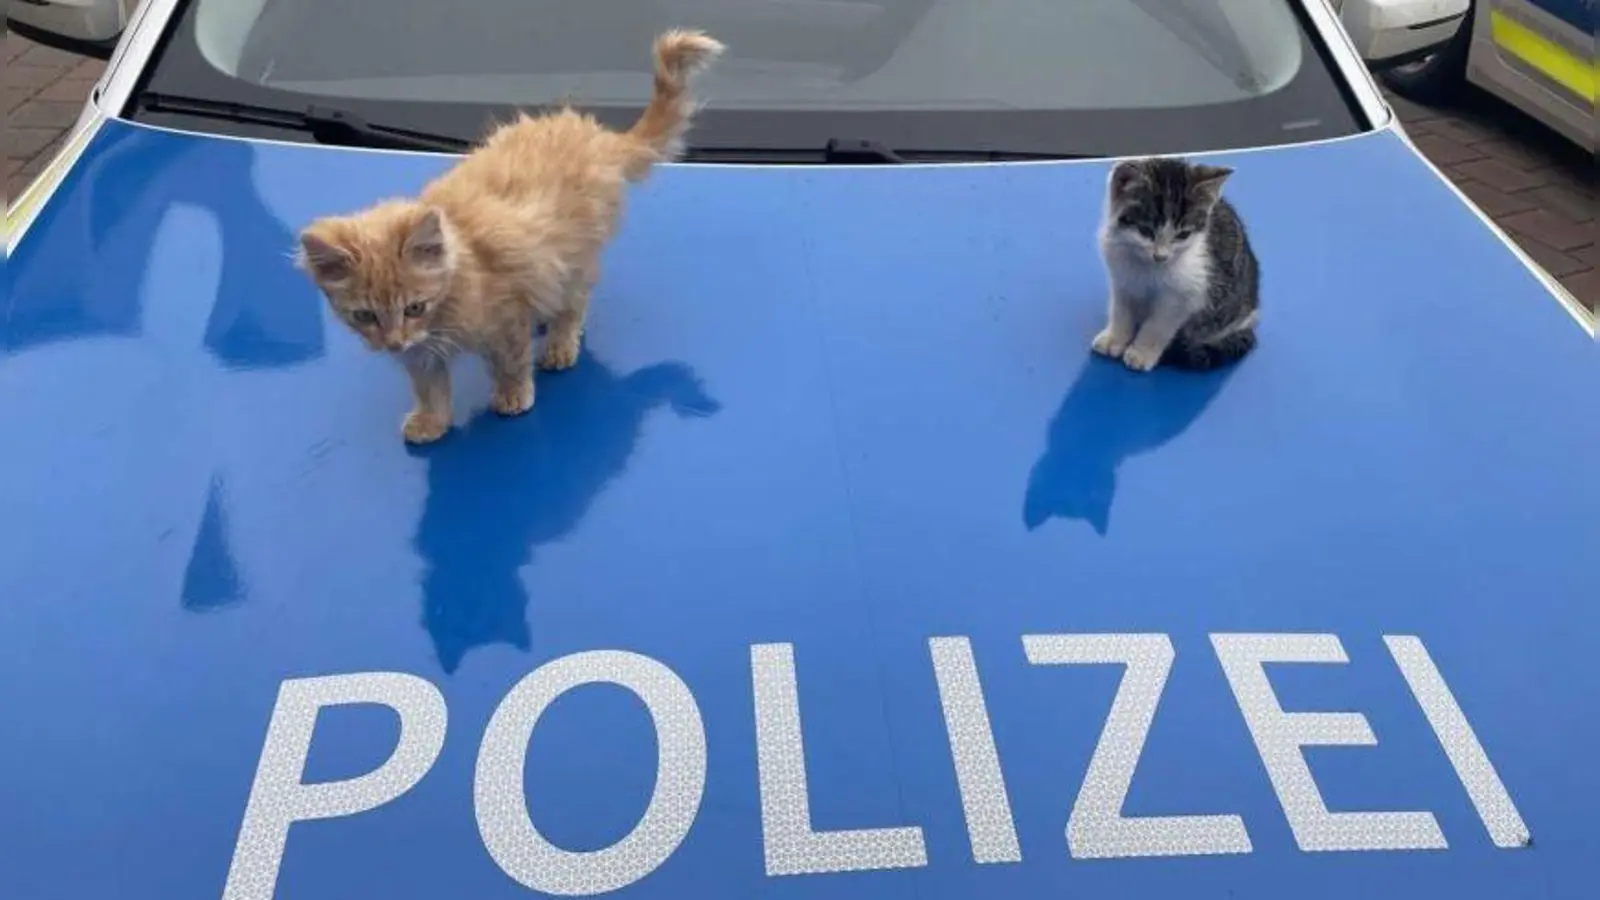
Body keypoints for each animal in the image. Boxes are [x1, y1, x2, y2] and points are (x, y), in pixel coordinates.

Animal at [294, 29, 726, 441]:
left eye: (415, 307)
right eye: (365, 315)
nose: (393, 343)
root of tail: (596, 136)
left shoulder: (506, 315)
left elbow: (512, 361)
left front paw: (513, 395)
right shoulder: (423, 352)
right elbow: (430, 387)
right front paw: (432, 422)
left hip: (576, 254)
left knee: (574, 302)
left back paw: (560, 343)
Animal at [1088, 157, 1260, 371]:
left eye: (1183, 235)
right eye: (1146, 231)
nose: (1161, 256)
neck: (1146, 266)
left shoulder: (1186, 294)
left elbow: (1158, 325)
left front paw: (1141, 352)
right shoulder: (1121, 278)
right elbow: (1121, 310)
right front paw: (1115, 338)